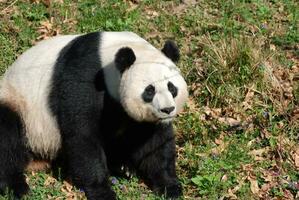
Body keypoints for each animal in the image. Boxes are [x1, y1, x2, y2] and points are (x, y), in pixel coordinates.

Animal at [0, 31, 189, 200]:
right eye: (149, 90)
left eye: (172, 87)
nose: (167, 109)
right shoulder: (84, 76)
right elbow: (83, 135)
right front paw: (102, 192)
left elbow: (155, 142)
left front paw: (170, 187)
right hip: (19, 104)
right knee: (8, 136)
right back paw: (16, 187)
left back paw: (123, 167)